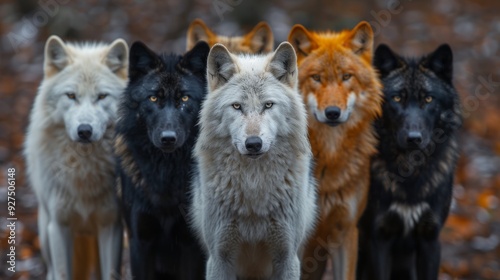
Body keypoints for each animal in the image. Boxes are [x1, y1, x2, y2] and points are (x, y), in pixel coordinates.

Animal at [23, 35, 129, 280]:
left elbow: (110, 274)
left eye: (102, 96)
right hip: (46, 235)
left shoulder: (111, 224)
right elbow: (63, 274)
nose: (85, 131)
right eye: (71, 96)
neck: (84, 170)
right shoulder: (59, 226)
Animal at [114, 40, 210, 278]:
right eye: (153, 98)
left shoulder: (191, 246)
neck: (166, 173)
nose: (168, 138)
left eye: (184, 98)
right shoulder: (140, 242)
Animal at [191, 42, 316, 280]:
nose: (254, 143)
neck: (253, 185)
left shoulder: (287, 257)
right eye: (237, 106)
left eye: (268, 105)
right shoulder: (219, 258)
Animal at [358, 43, 462, 280]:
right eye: (397, 98)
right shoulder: (379, 239)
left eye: (428, 99)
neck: (411, 172)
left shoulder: (430, 239)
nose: (414, 138)